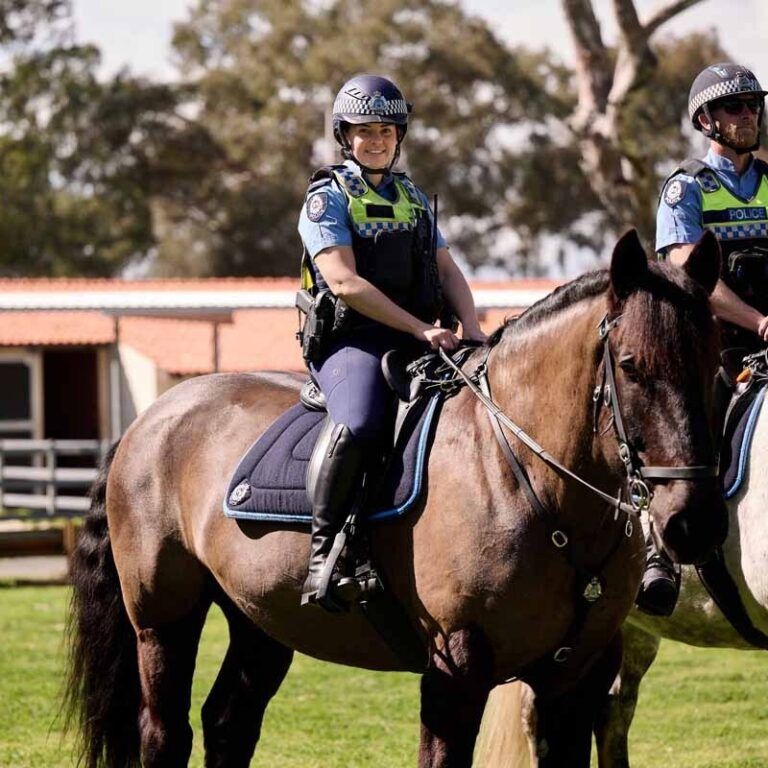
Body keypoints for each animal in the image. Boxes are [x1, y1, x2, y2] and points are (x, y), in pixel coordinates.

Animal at [63, 230, 726, 768]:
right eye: (631, 366)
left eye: (715, 365)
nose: (692, 522)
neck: (527, 478)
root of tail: (152, 418)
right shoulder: (456, 671)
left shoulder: (574, 681)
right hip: (163, 620)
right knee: (165, 734)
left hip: (260, 622)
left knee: (229, 724)